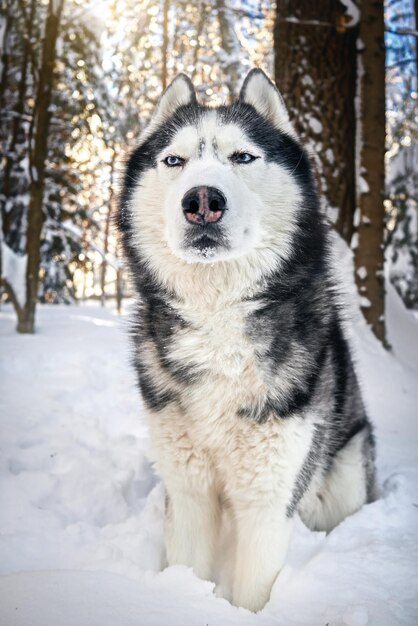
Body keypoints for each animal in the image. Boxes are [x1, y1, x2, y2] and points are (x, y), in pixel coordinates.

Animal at [116, 68, 376, 608]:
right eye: (174, 160)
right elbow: (188, 564)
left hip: (342, 476)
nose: (202, 201)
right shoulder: (188, 491)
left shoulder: (269, 498)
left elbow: (254, 588)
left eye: (242, 157)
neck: (217, 321)